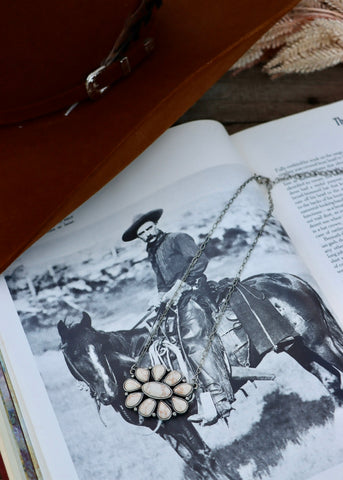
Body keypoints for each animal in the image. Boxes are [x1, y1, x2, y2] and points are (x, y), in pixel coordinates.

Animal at [57, 272, 343, 478]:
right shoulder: (165, 430)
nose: (107, 392)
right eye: (75, 354)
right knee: (330, 380)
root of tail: (289, 279)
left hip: (318, 340)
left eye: (99, 347)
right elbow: (197, 463)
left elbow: (205, 456)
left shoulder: (180, 421)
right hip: (297, 347)